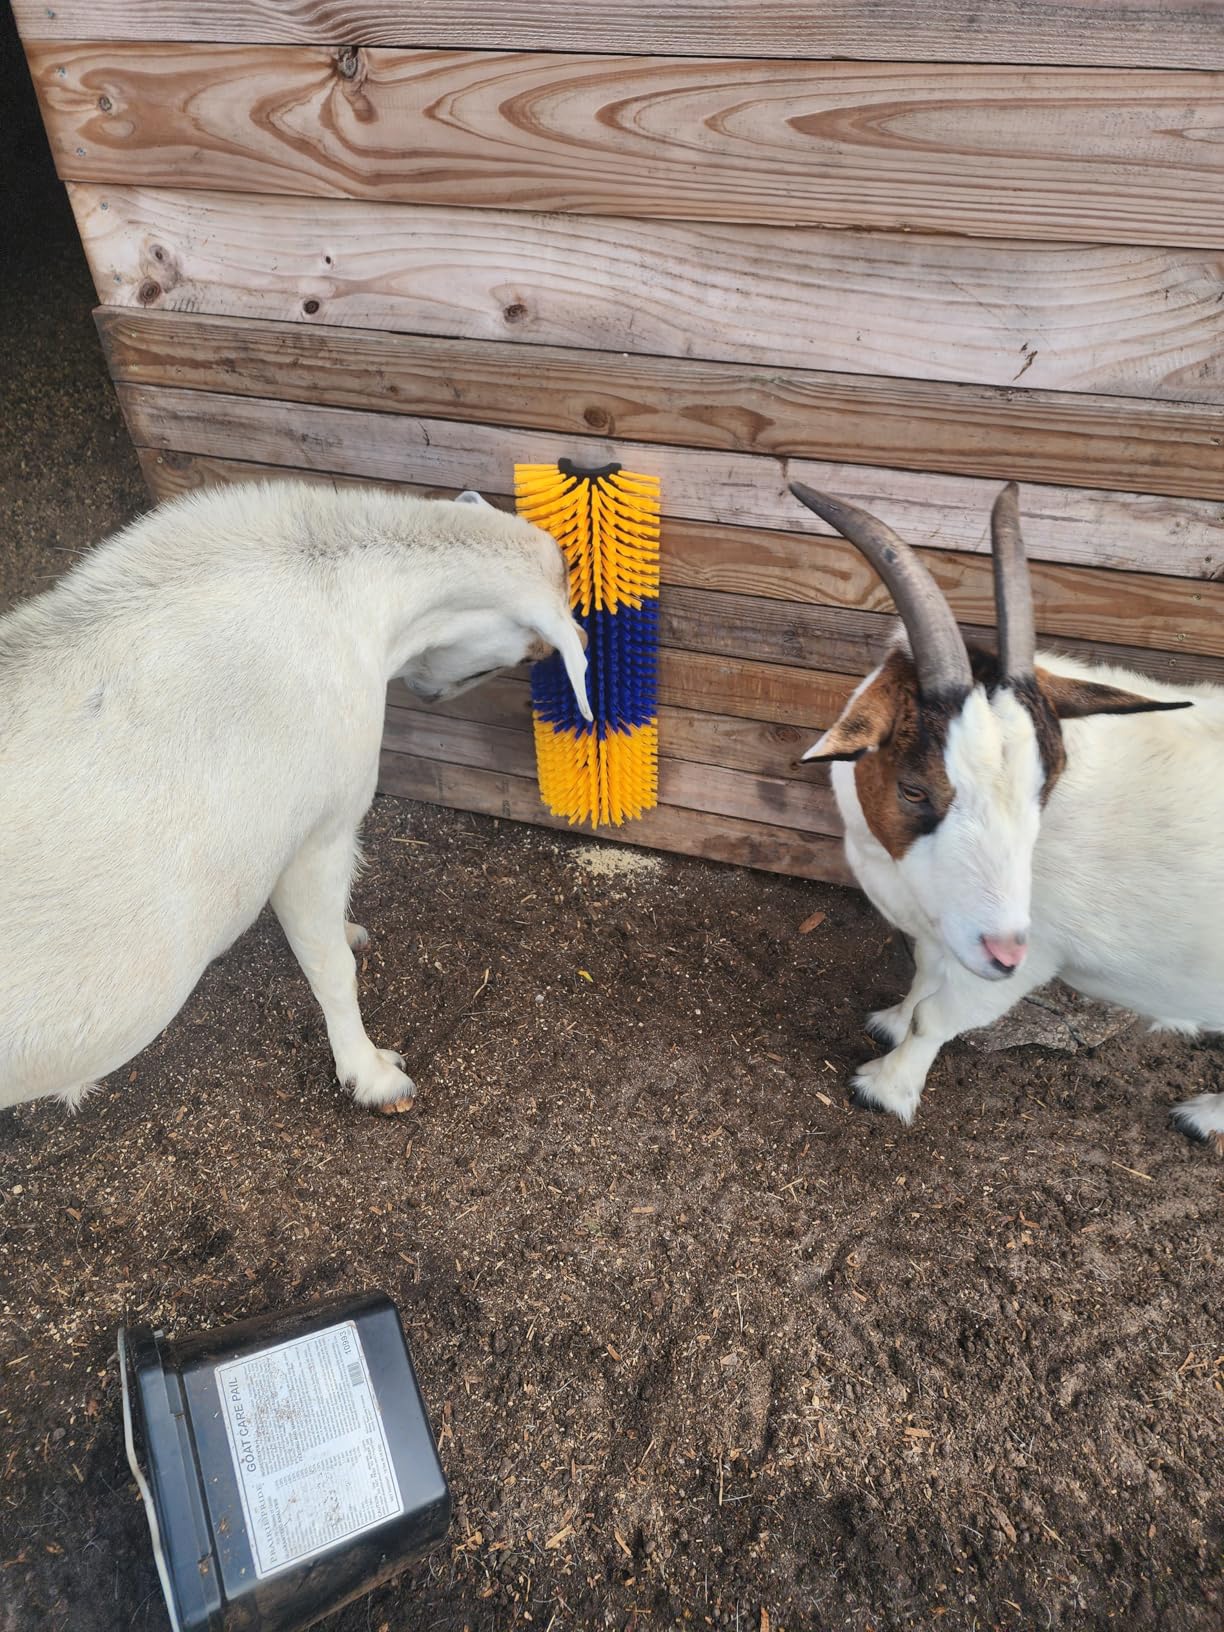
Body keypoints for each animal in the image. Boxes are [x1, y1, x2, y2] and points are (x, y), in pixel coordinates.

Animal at [790, 480, 1224, 1153]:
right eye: (914, 790)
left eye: (1048, 786)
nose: (1004, 949)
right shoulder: (944, 929)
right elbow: (922, 977)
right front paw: (889, 1022)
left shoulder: (1029, 957)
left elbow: (937, 1015)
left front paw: (886, 1088)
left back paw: (1202, 1116)